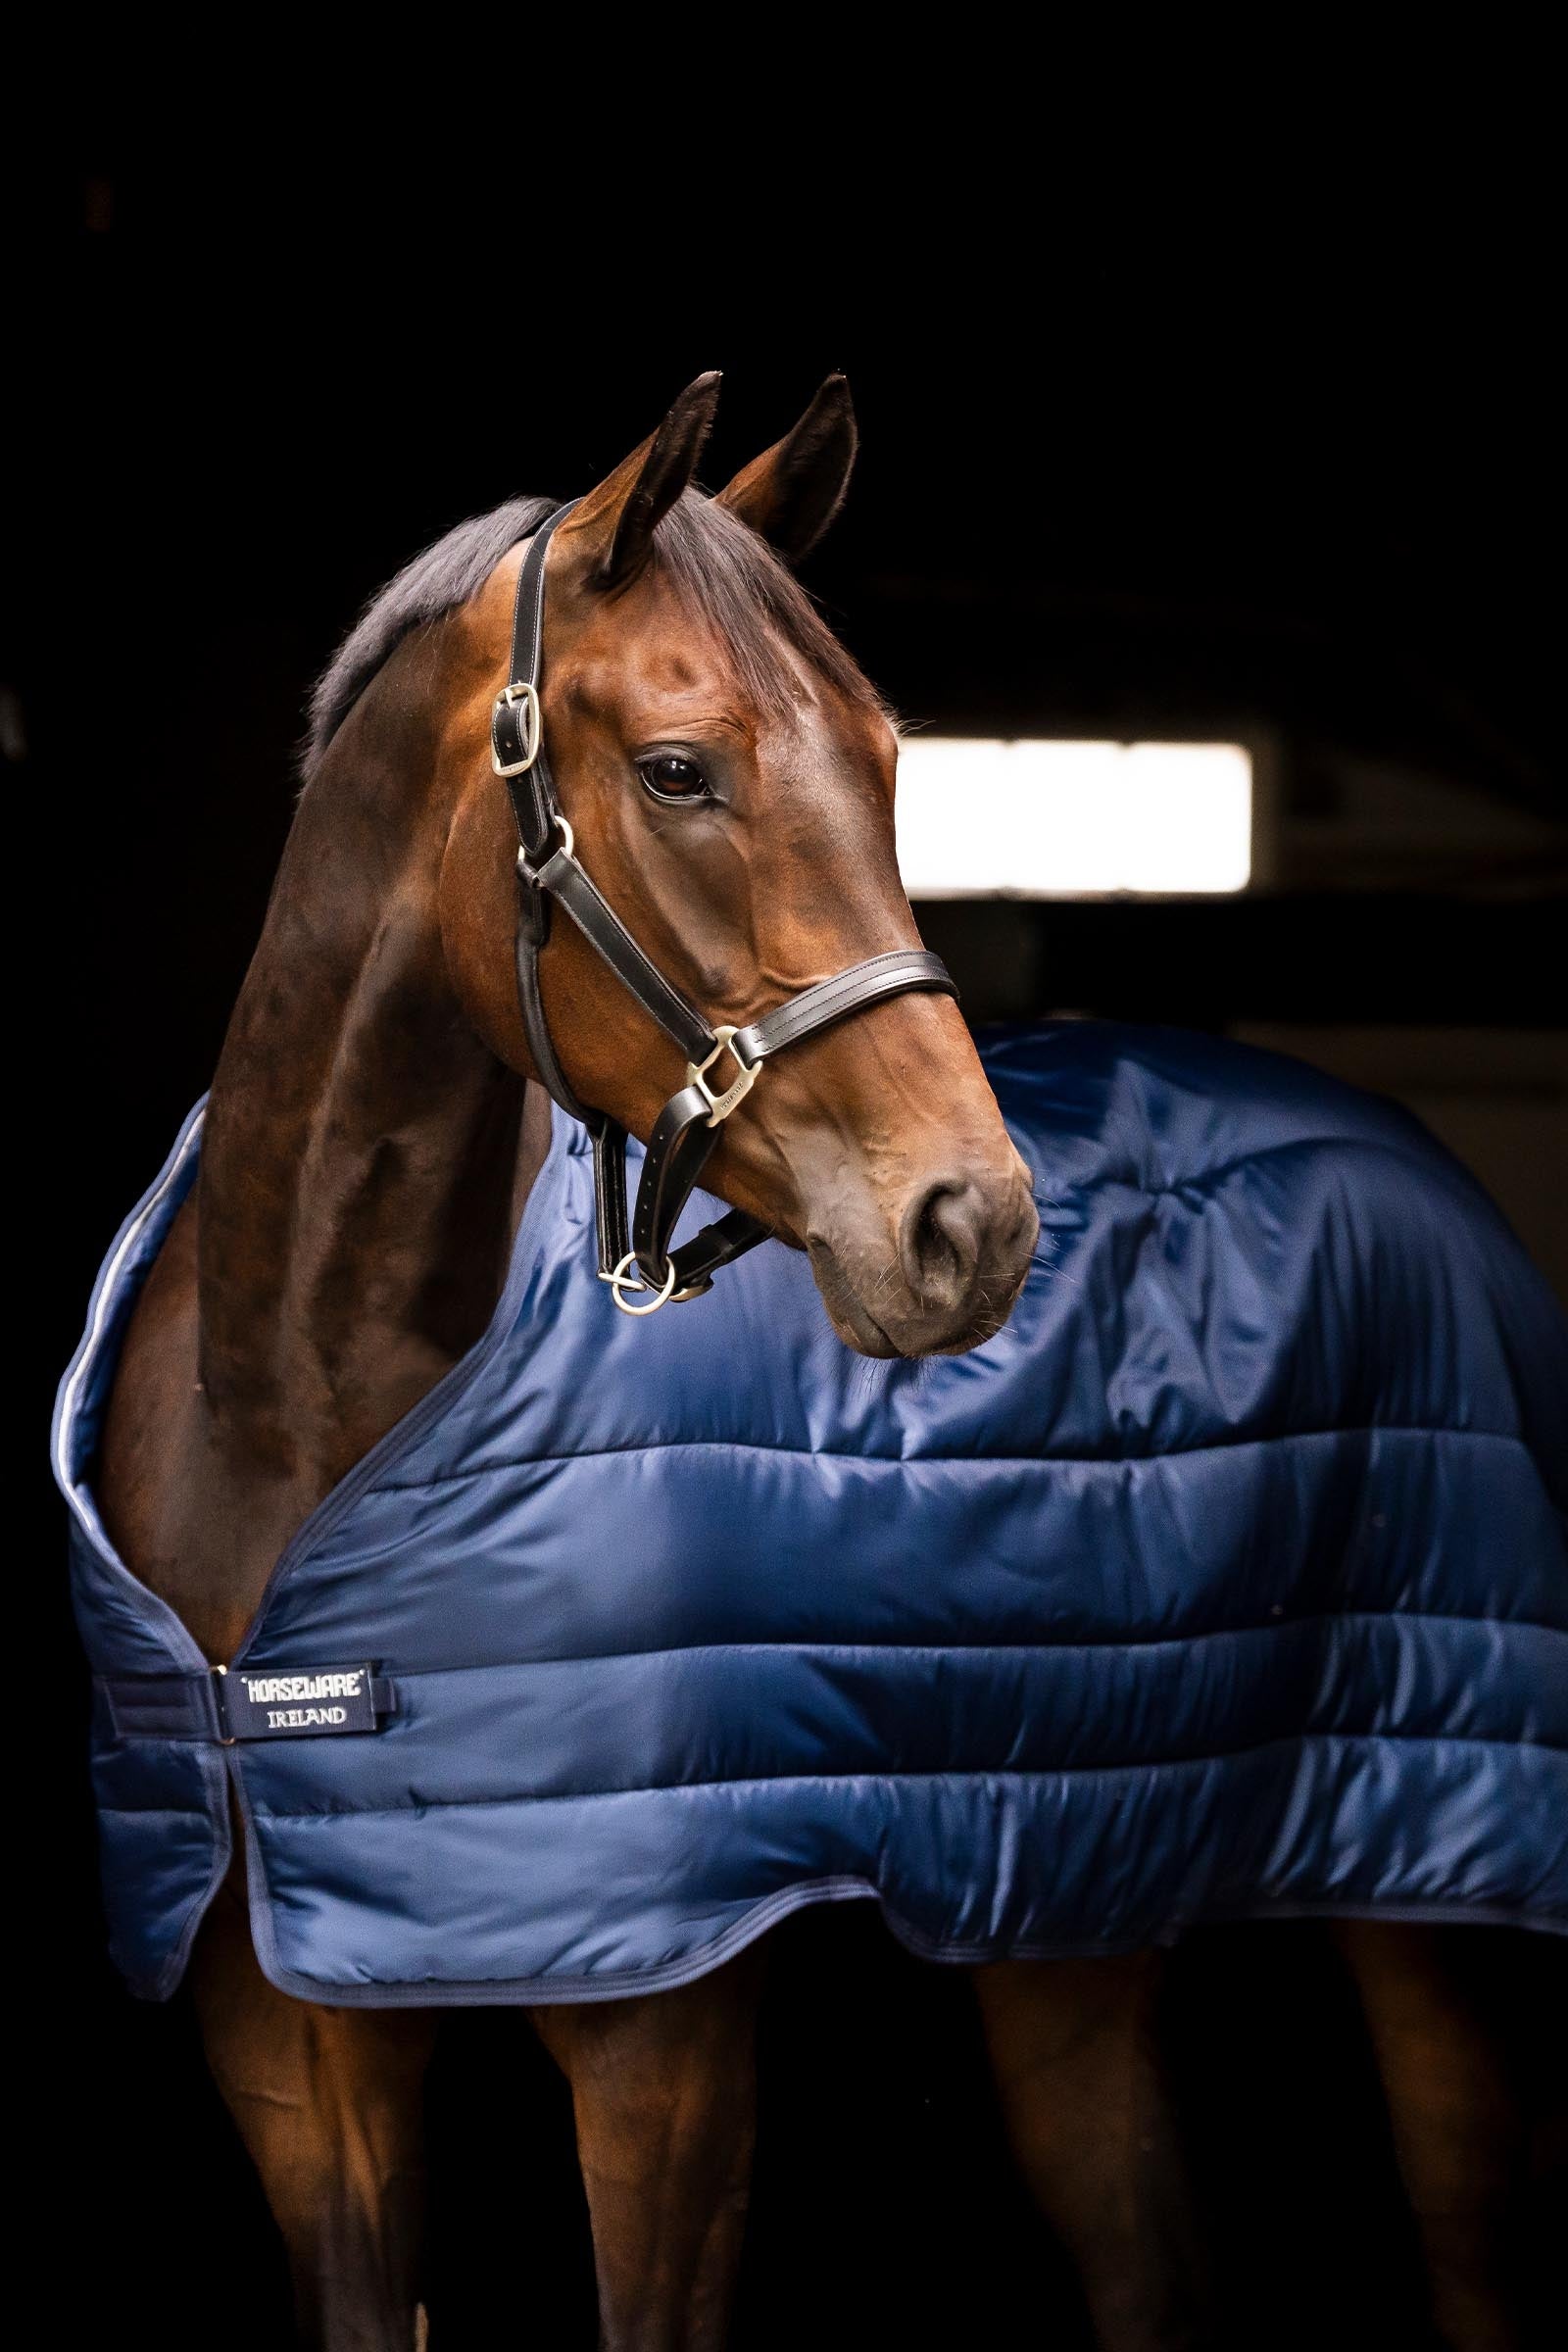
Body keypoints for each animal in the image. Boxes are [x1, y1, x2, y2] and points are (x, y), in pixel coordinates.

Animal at [74, 375, 1554, 2351]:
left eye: (886, 756)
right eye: (677, 770)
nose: (970, 1225)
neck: (287, 1414)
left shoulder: (666, 2061)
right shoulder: (298, 2066)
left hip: (1435, 1899)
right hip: (1064, 1901)